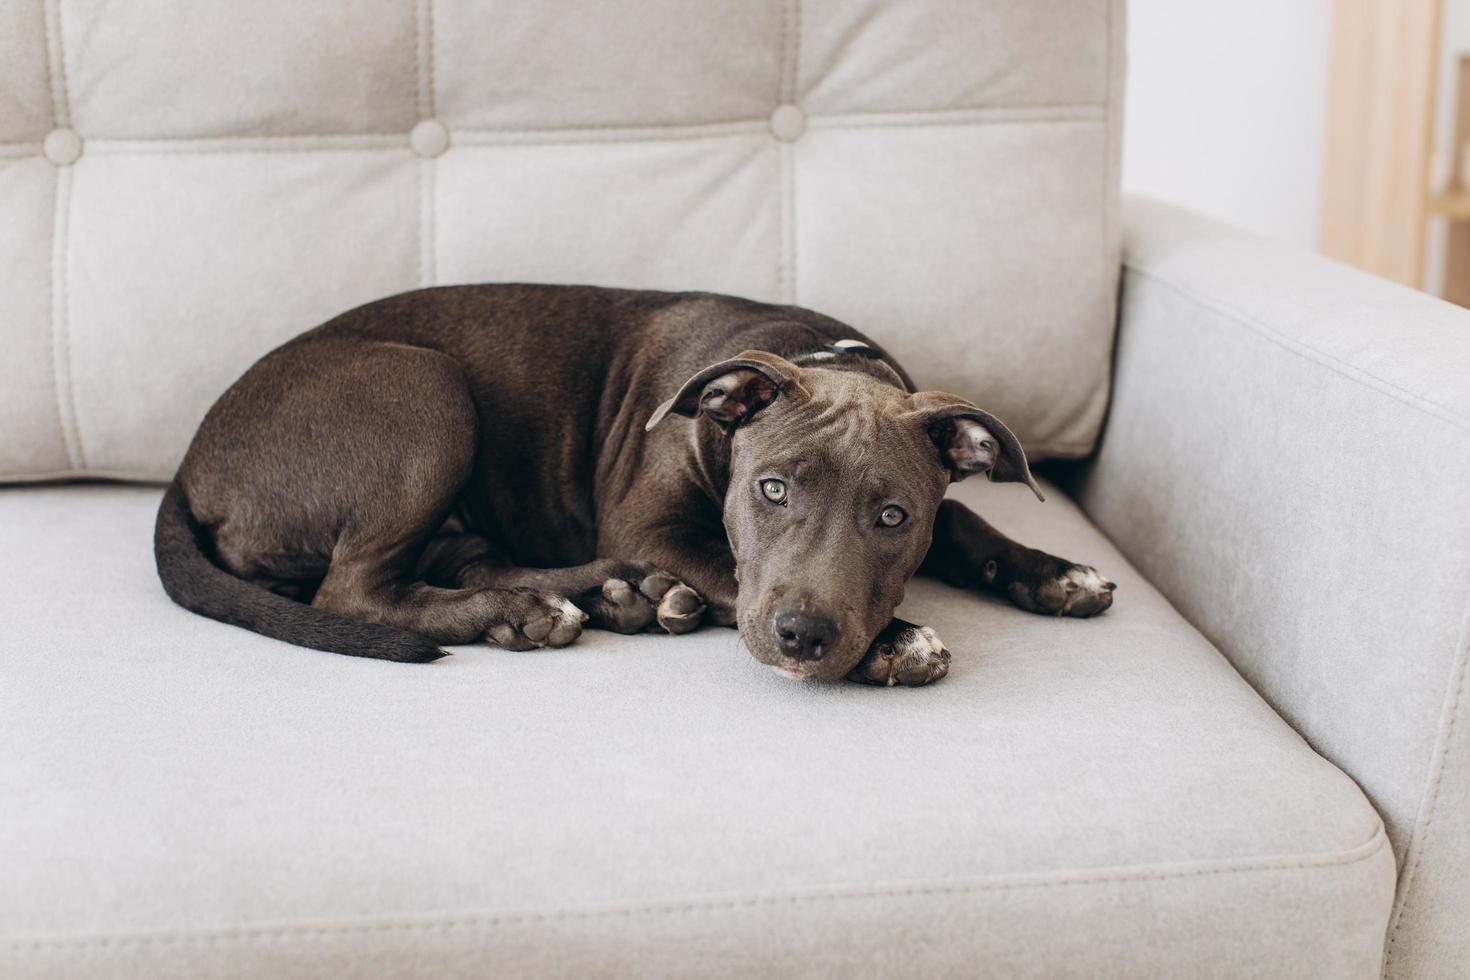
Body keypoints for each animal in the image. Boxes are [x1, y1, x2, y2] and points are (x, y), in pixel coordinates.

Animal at [152, 283, 1111, 687]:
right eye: (770, 490)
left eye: (892, 514)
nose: (804, 637)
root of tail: (189, 465)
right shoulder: (648, 523)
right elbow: (728, 570)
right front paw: (897, 639)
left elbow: (967, 527)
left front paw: (1055, 572)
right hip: (424, 392)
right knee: (354, 590)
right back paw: (541, 612)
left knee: (457, 562)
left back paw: (611, 599)